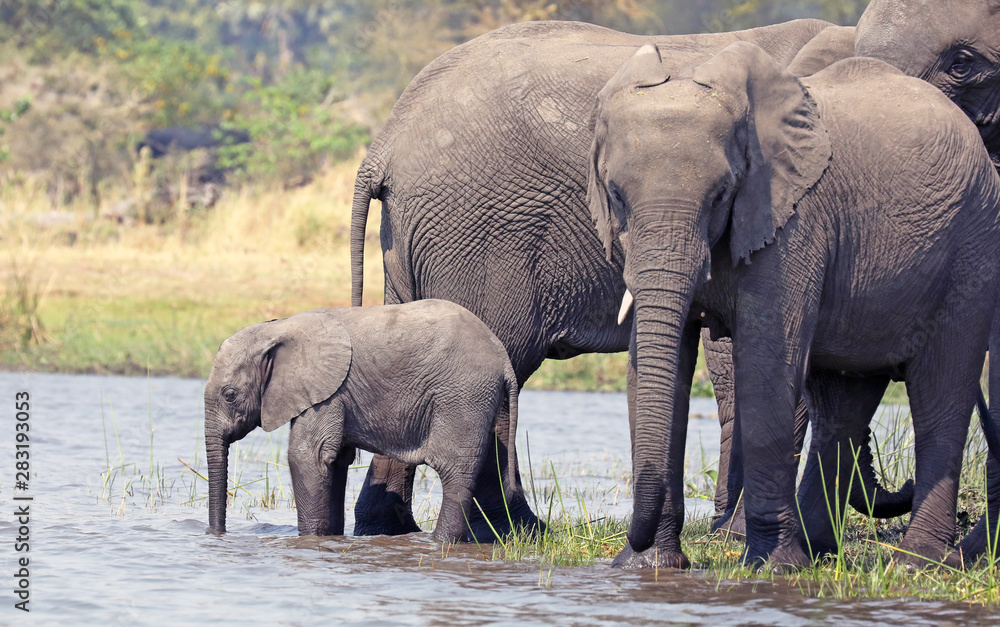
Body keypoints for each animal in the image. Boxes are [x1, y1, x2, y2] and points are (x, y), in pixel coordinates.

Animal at [205, 300, 520, 541]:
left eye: (230, 395)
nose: (216, 534)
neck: (277, 328)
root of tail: (503, 358)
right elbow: (334, 461)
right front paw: (329, 538)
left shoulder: (328, 393)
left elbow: (306, 456)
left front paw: (310, 540)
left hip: (462, 396)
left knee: (454, 469)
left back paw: (439, 542)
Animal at [587, 41, 1000, 570]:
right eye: (616, 195)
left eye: (721, 195)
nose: (633, 543)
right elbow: (657, 368)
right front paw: (649, 568)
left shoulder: (793, 222)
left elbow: (766, 365)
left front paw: (772, 568)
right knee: (843, 403)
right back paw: (820, 550)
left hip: (972, 248)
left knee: (941, 390)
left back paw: (916, 562)